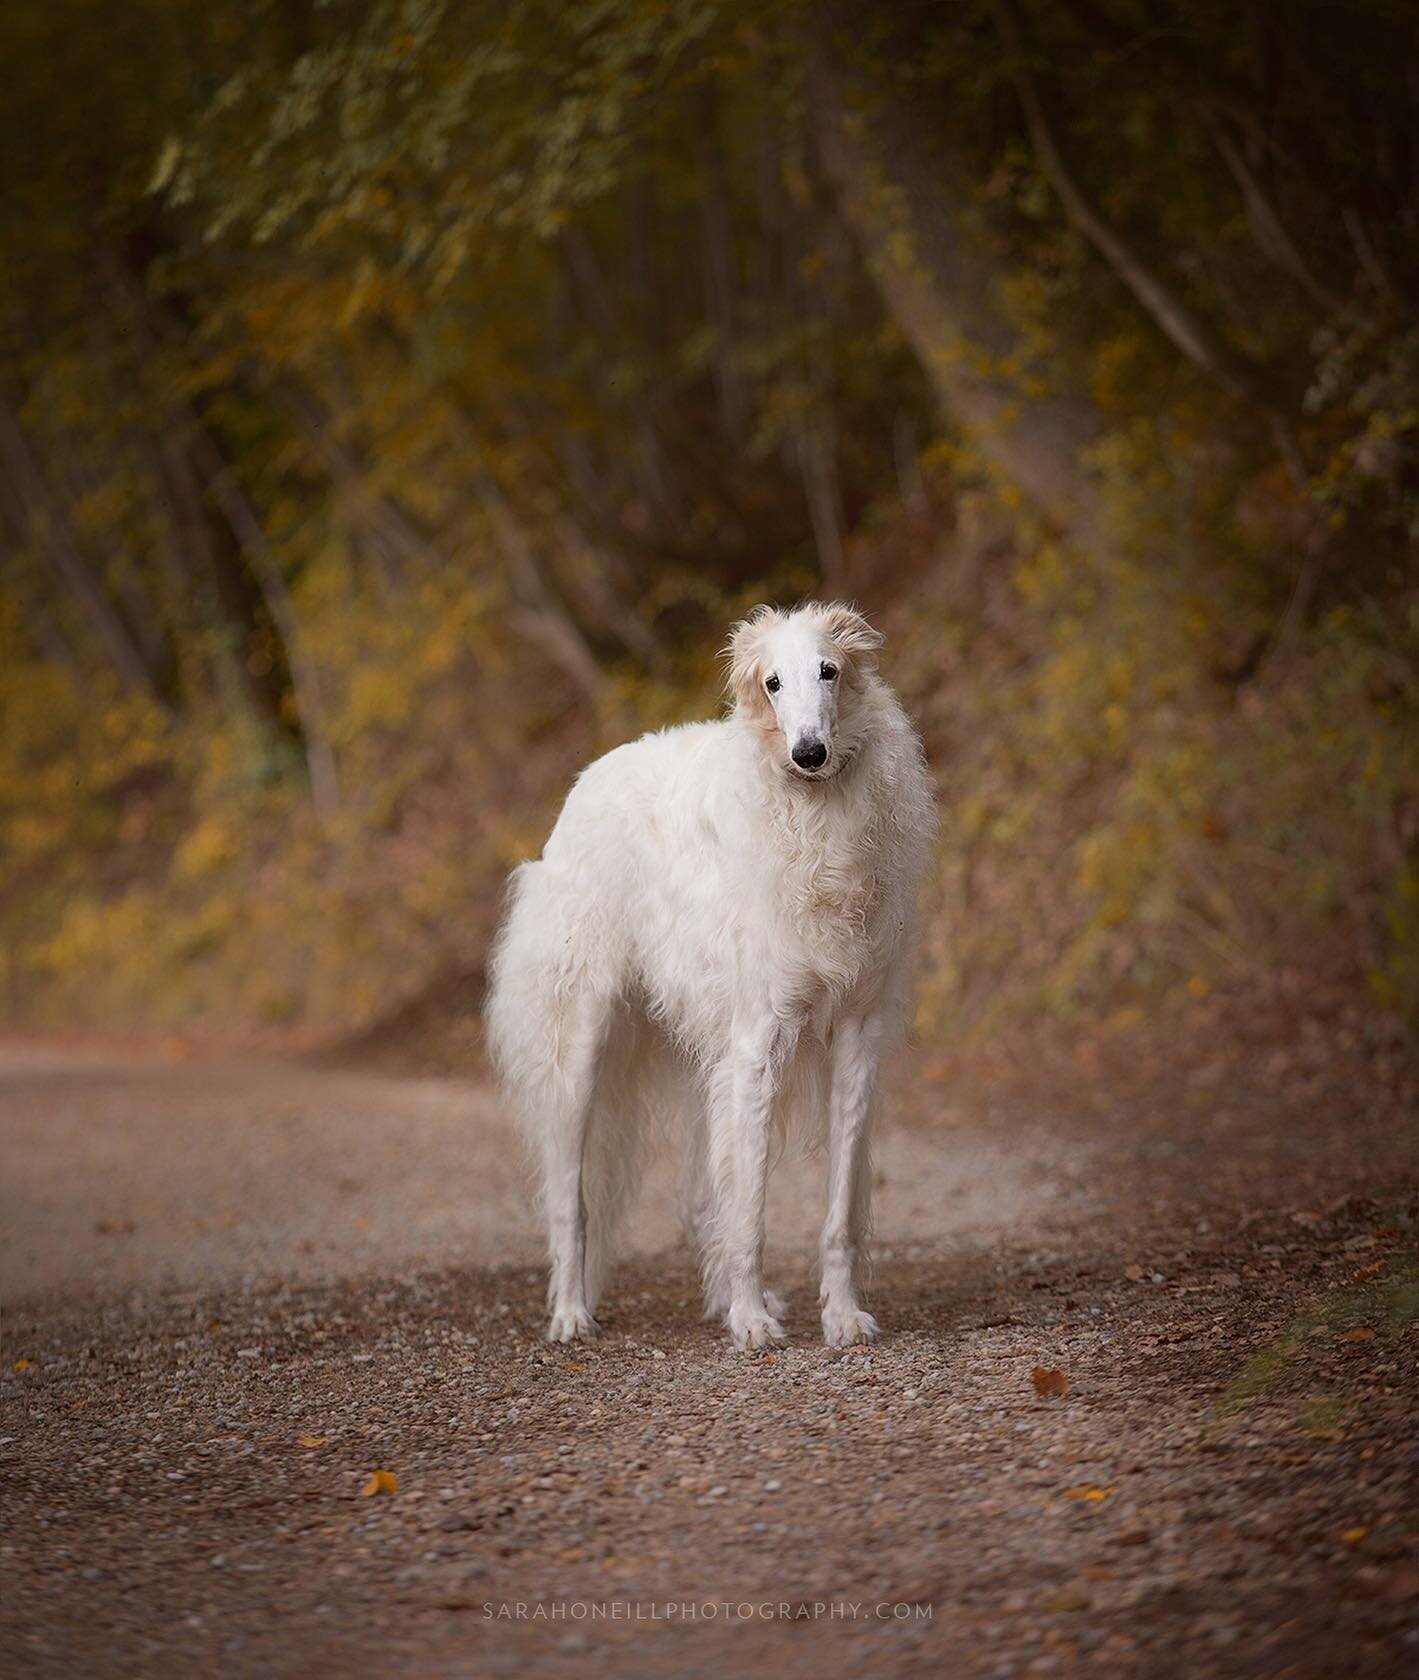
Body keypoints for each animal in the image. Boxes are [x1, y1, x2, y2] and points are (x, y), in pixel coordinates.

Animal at [480, 604, 933, 1350]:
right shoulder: (757, 1042)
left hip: (706, 1061)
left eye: (829, 670)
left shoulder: (855, 1037)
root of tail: (590, 774)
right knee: (572, 1201)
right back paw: (572, 1312)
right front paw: (750, 1323)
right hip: (582, 1046)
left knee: (698, 1197)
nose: (808, 753)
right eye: (772, 682)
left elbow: (836, 1213)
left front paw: (839, 1316)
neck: (816, 819)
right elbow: (749, 1211)